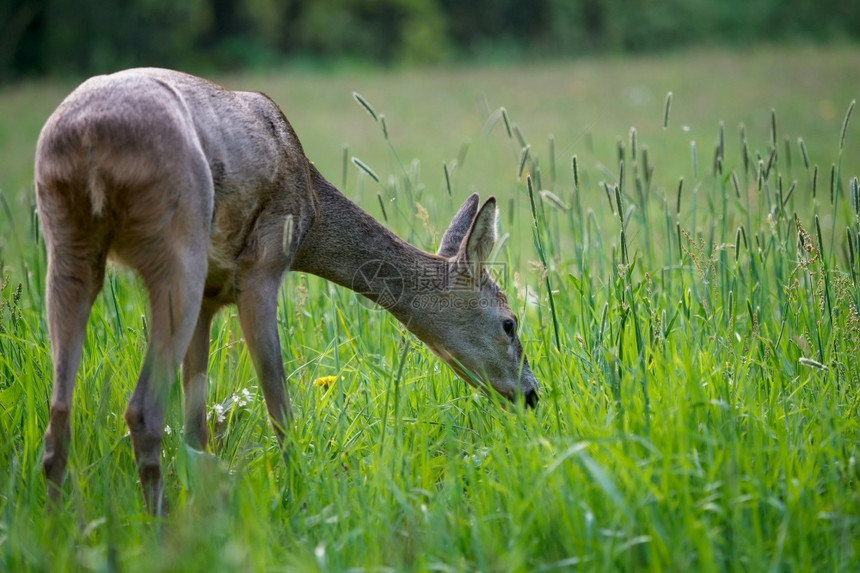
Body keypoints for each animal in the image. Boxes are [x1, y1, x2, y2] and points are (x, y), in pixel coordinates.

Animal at [37, 68, 540, 512]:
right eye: (509, 323)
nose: (532, 393)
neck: (312, 209)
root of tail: (88, 137)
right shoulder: (261, 267)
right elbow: (280, 408)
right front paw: (302, 494)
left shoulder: (210, 298)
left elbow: (197, 430)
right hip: (178, 251)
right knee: (142, 410)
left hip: (68, 246)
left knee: (59, 417)